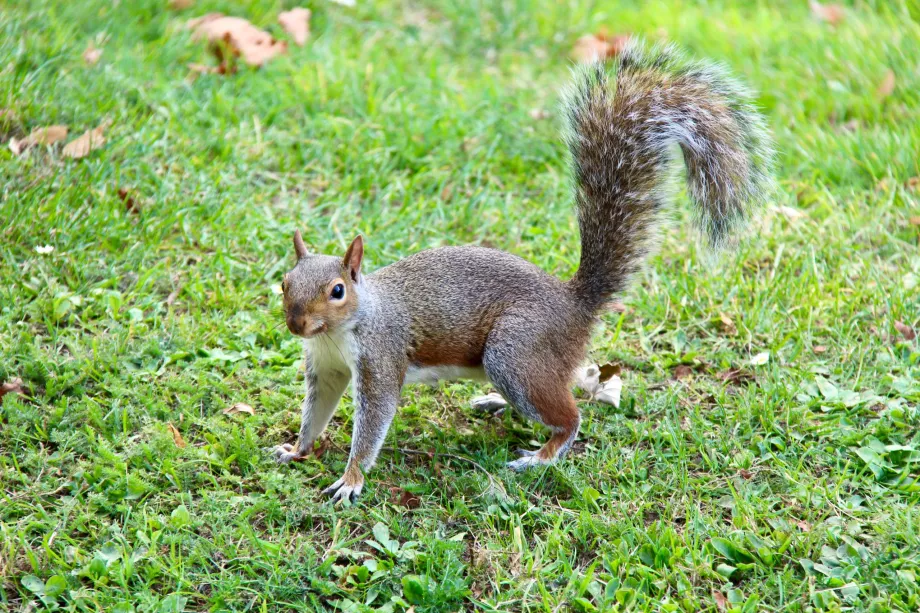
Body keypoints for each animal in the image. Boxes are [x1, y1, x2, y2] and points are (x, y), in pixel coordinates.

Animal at [274, 39, 776, 502]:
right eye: (284, 283)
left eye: (338, 290)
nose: (297, 324)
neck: (341, 330)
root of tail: (575, 303)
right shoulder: (327, 368)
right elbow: (316, 412)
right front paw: (296, 450)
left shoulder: (381, 357)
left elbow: (373, 421)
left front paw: (351, 479)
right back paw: (495, 402)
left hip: (515, 349)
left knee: (569, 415)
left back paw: (541, 456)